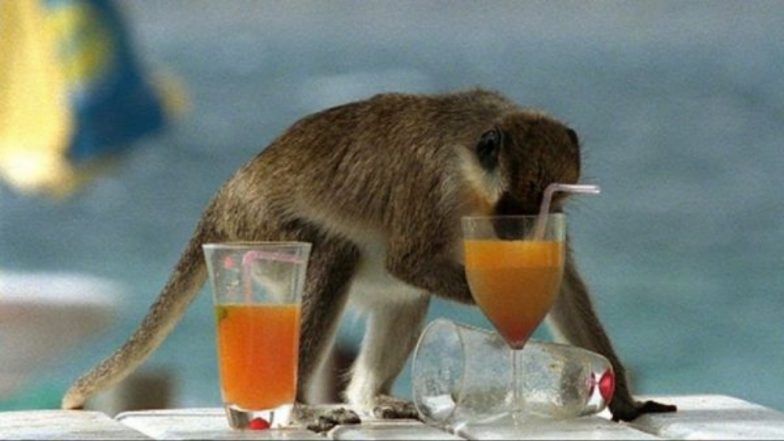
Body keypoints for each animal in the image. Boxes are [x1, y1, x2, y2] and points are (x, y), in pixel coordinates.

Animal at [62, 89, 676, 424]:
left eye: (548, 201)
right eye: (515, 202)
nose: (522, 232)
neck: (471, 174)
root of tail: (226, 196)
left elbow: (563, 282)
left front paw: (623, 399)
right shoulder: (429, 188)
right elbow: (409, 260)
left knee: (402, 293)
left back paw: (369, 397)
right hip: (260, 232)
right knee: (334, 254)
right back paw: (296, 405)